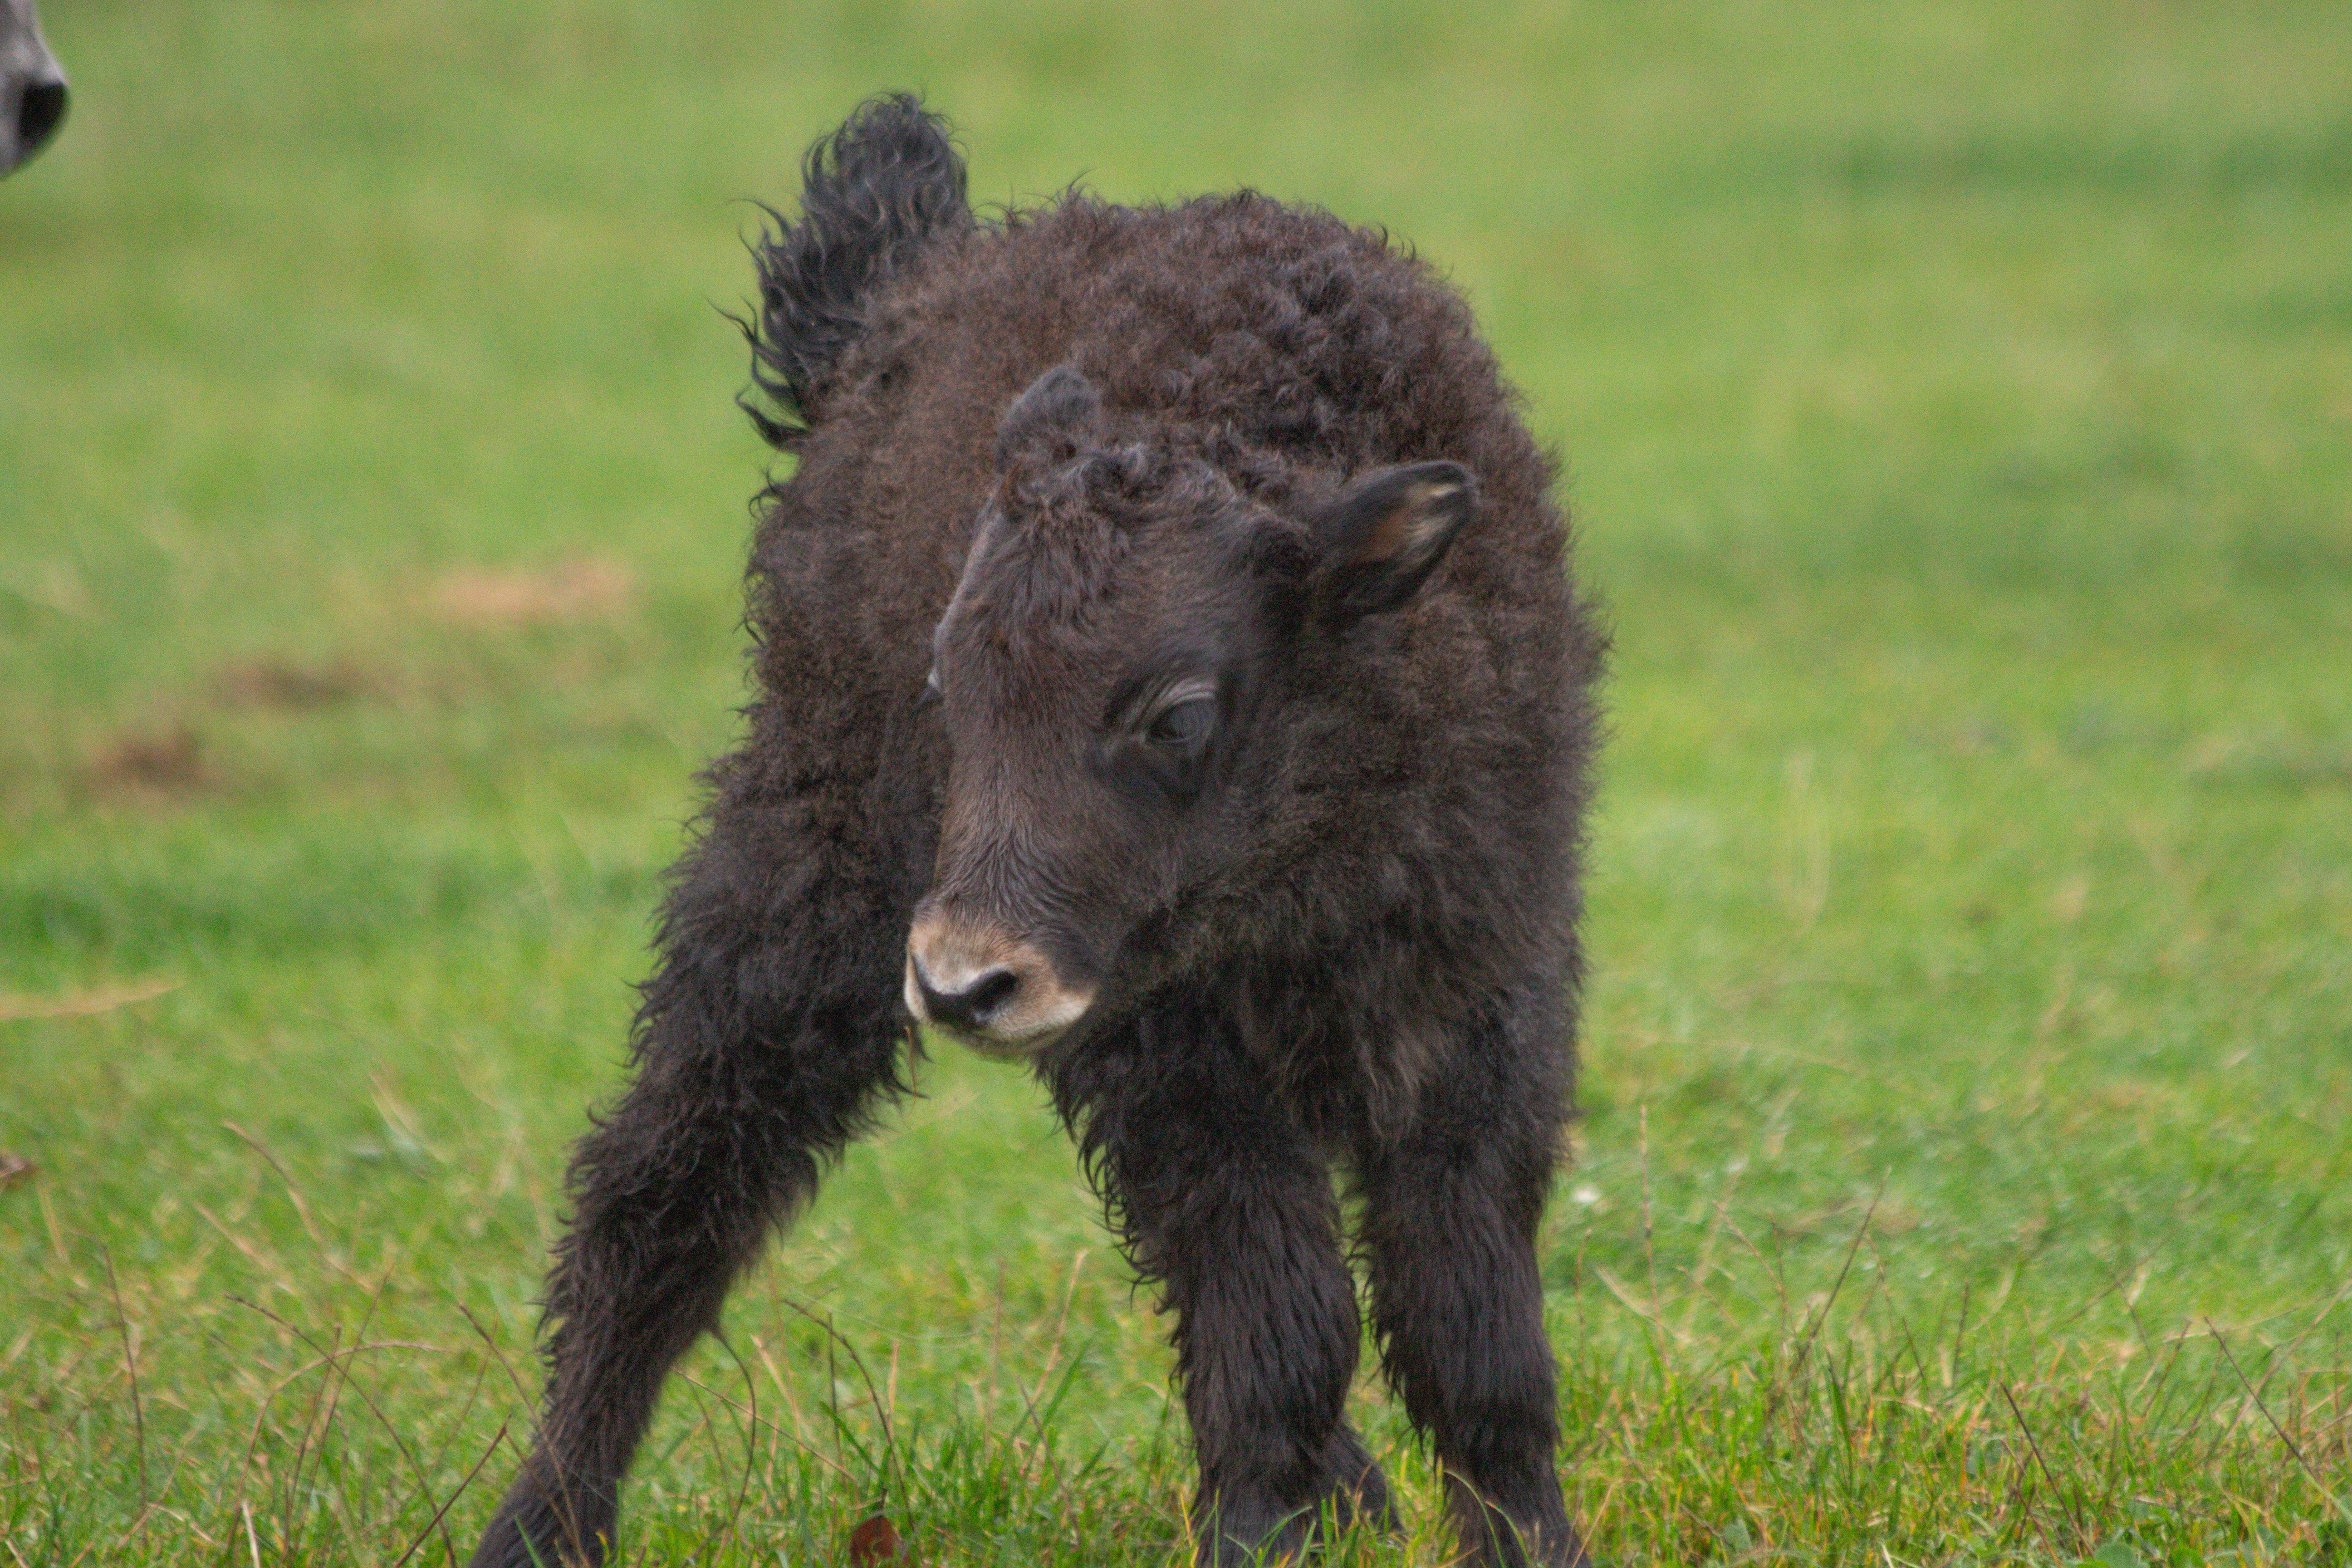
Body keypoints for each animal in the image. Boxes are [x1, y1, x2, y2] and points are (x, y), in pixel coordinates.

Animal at [463, 98, 1599, 1568]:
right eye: (948, 682)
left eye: (1178, 712)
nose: (963, 980)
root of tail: (902, 294)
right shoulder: (1167, 1049)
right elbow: (1281, 1319)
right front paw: (1255, 1536)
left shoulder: (1480, 996)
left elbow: (1473, 1334)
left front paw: (1519, 1537)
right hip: (802, 886)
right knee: (662, 1194)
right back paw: (538, 1526)